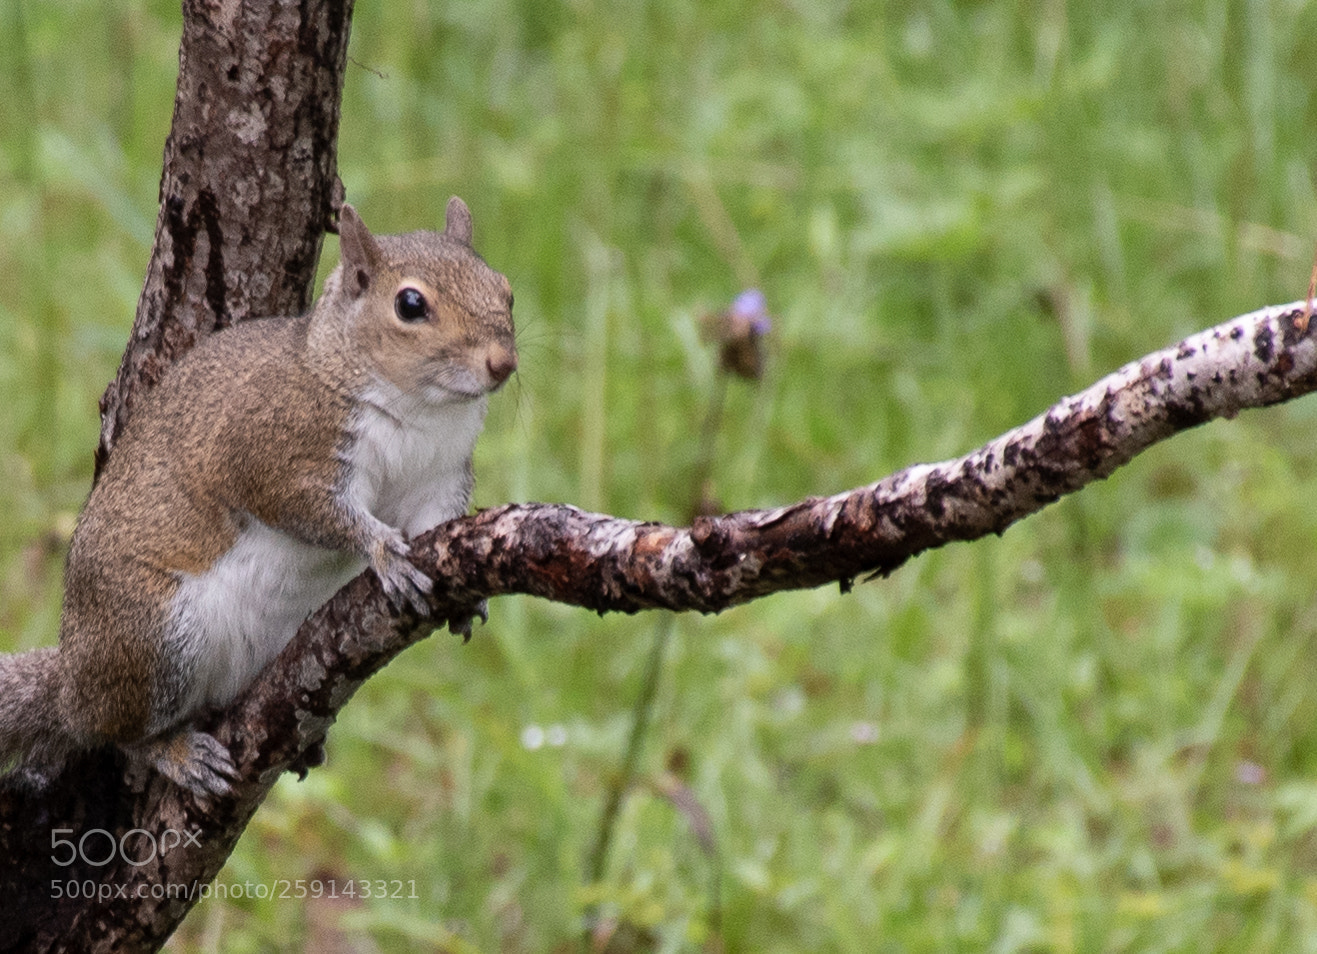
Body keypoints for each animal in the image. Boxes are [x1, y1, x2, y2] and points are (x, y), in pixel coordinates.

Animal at [0, 196, 516, 799]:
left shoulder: (440, 475)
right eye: (410, 304)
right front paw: (382, 549)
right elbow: (308, 508)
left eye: (505, 288)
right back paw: (172, 752)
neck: (421, 407)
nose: (502, 364)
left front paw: (466, 599)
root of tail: (70, 684)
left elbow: (438, 525)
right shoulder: (274, 451)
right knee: (111, 732)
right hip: (151, 639)